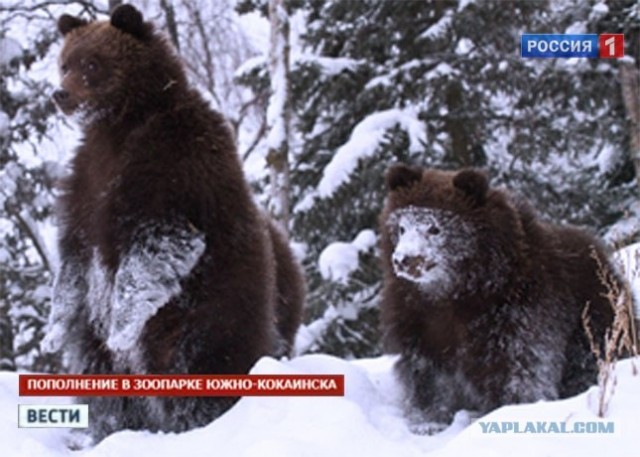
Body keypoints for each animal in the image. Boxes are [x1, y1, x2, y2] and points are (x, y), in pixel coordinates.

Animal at [42, 2, 304, 438]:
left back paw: (198, 421)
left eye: (92, 64)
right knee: (100, 375)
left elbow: (158, 243)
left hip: (211, 308)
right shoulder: (84, 186)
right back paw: (112, 427)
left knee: (204, 362)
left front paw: (122, 326)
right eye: (65, 63)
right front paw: (52, 330)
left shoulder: (173, 167)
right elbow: (73, 262)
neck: (121, 123)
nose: (61, 93)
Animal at [380, 165, 616, 428]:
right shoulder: (418, 320)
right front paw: (428, 420)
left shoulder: (514, 311)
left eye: (434, 227)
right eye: (401, 227)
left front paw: (508, 409)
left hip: (592, 312)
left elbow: (519, 368)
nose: (404, 259)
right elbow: (426, 374)